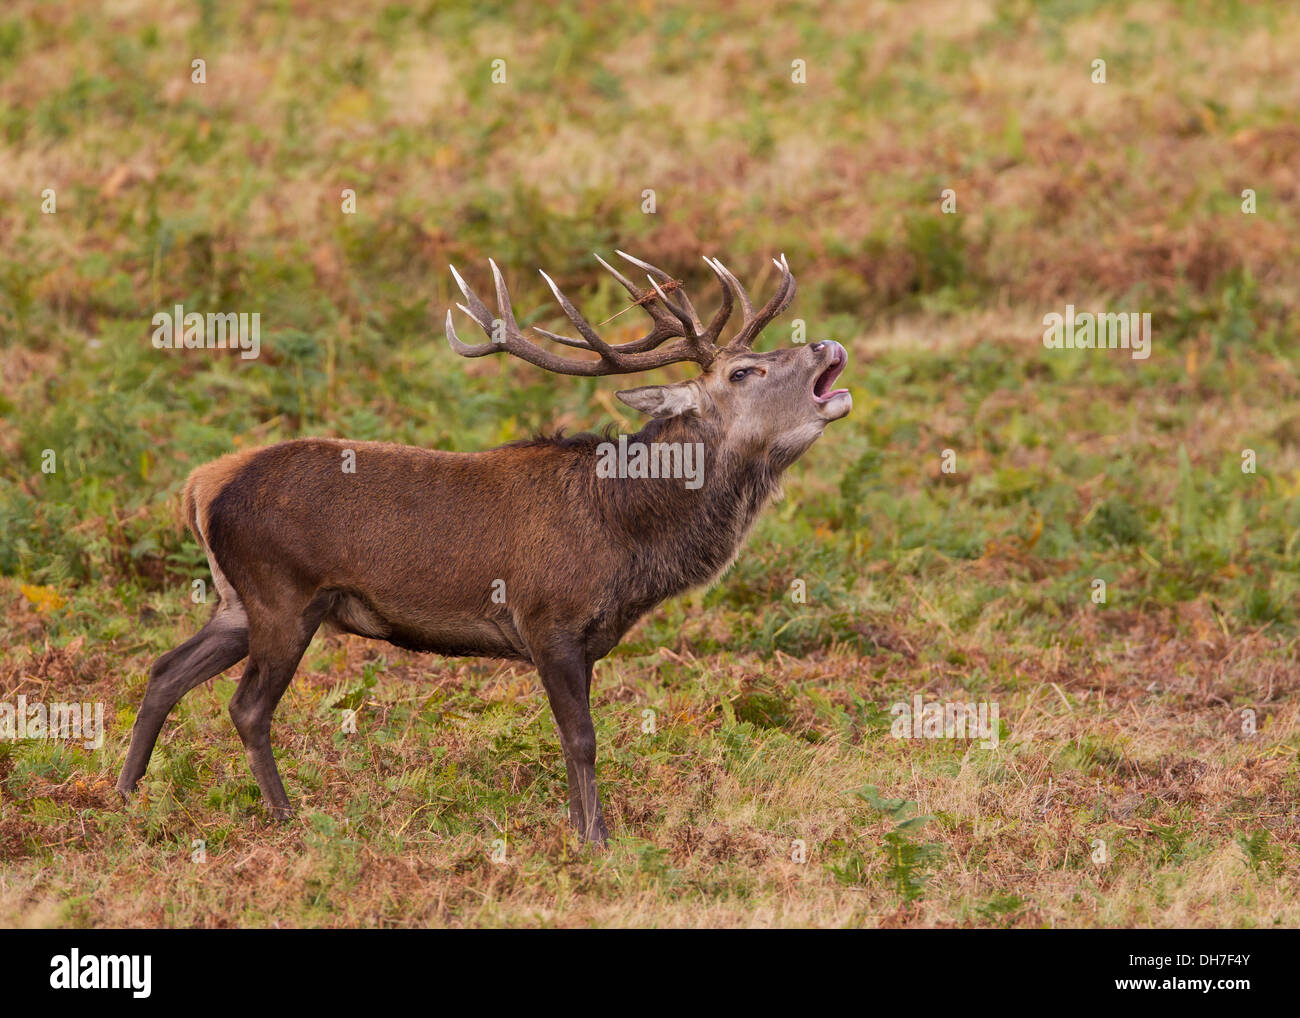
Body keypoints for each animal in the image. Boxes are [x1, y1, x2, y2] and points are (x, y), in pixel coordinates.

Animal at [116, 252, 852, 842]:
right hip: (282, 595)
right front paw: (596, 839)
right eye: (744, 373)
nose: (826, 345)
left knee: (164, 670)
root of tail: (202, 484)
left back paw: (124, 794)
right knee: (246, 707)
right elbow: (581, 739)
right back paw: (286, 816)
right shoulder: (548, 620)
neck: (626, 533)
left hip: (236, 601)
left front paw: (589, 829)